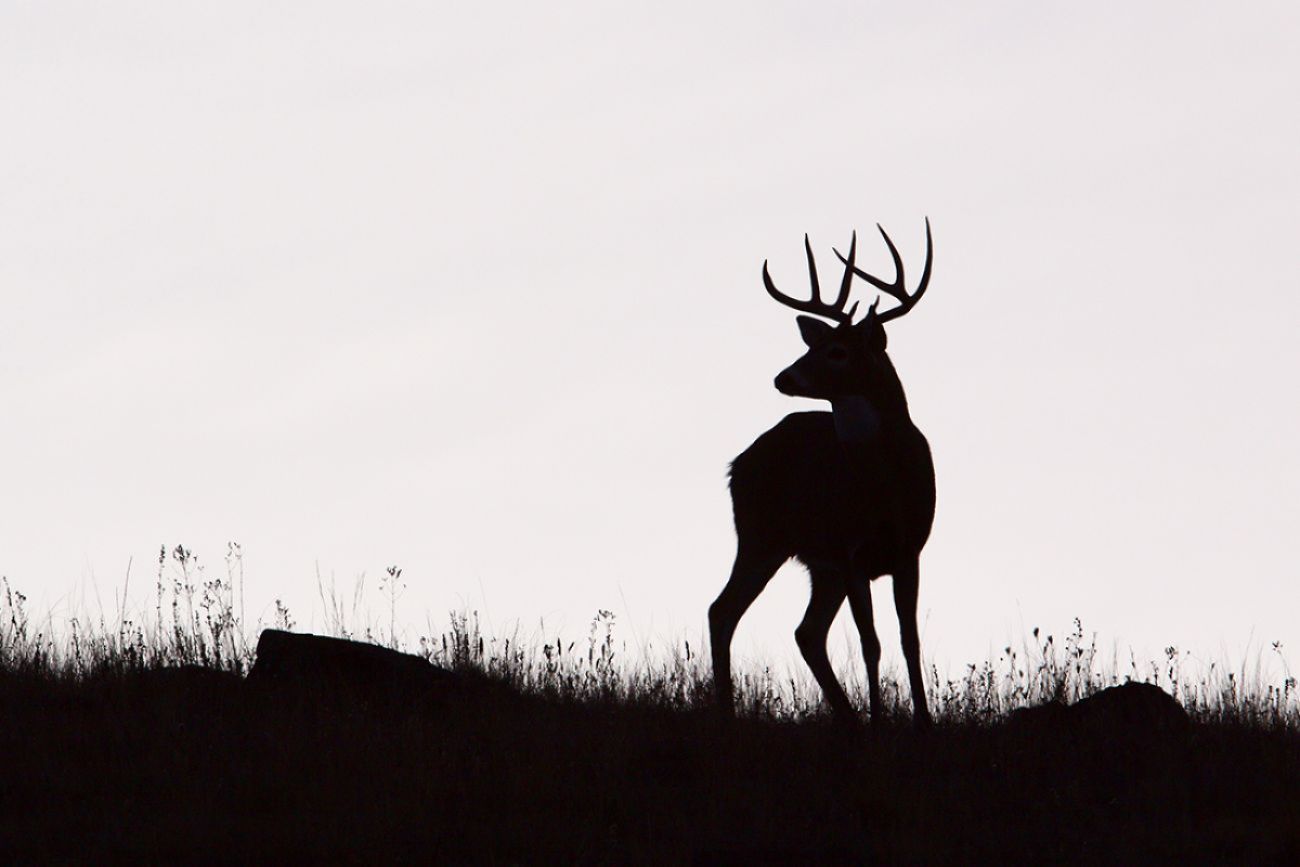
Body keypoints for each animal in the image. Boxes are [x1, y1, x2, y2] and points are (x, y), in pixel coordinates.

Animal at [709, 220, 936, 726]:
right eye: (811, 346)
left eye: (836, 351)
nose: (783, 377)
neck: (885, 487)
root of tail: (738, 463)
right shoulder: (852, 553)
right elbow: (871, 643)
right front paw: (879, 720)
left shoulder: (908, 551)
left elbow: (909, 641)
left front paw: (924, 721)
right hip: (761, 536)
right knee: (722, 611)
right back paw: (728, 713)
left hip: (816, 564)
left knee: (806, 631)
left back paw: (845, 716)